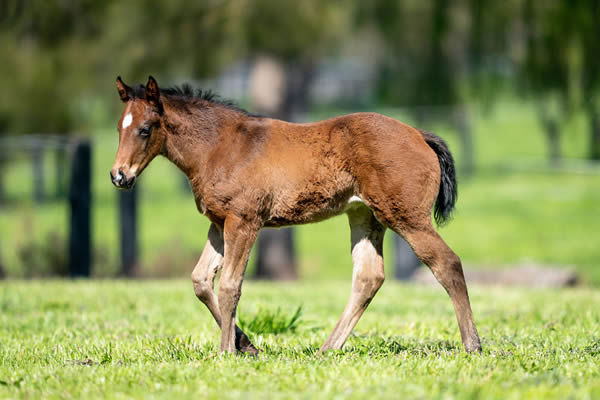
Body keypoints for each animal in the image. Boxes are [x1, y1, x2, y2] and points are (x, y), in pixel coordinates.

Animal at [112, 76, 482, 354]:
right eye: (119, 128)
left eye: (145, 128)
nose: (119, 176)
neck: (221, 147)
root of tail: (419, 134)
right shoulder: (218, 224)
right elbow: (201, 281)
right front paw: (247, 346)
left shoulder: (244, 221)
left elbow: (230, 285)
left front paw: (226, 352)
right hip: (365, 215)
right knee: (369, 277)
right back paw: (327, 349)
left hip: (405, 216)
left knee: (447, 263)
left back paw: (472, 345)